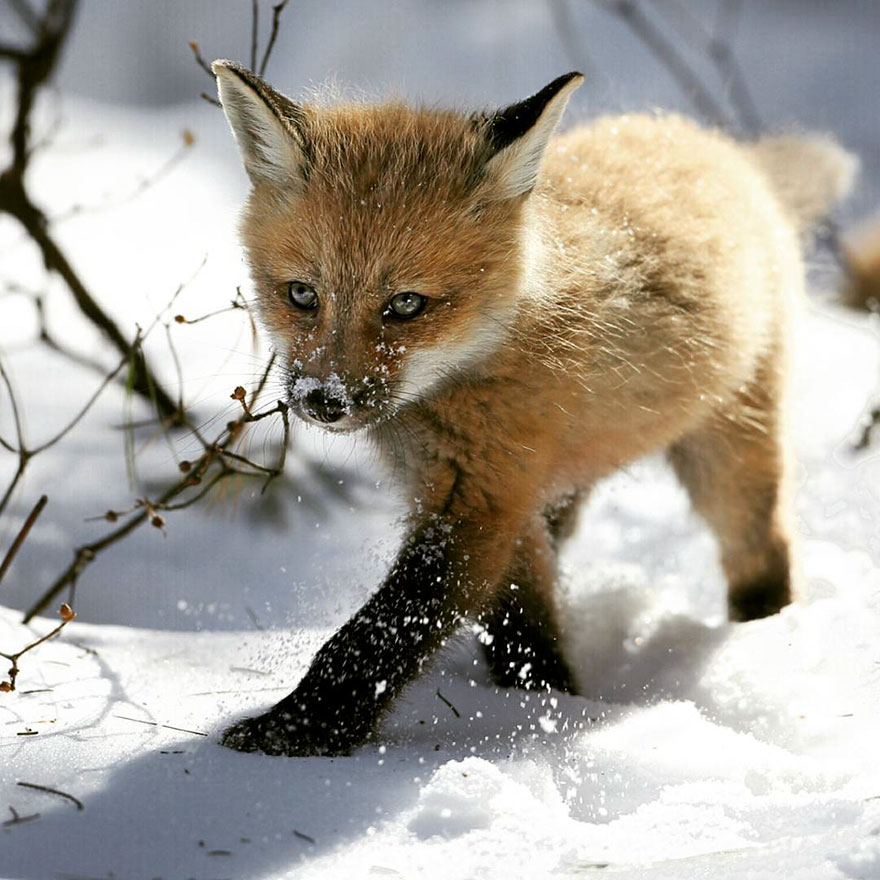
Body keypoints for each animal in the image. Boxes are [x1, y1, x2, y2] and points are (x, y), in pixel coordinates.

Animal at [211, 60, 855, 756]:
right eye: (302, 295)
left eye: (406, 305)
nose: (323, 401)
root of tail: (715, 146)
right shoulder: (500, 496)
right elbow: (520, 626)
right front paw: (542, 699)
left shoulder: (481, 498)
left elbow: (378, 635)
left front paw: (297, 731)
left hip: (727, 454)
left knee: (762, 551)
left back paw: (761, 639)